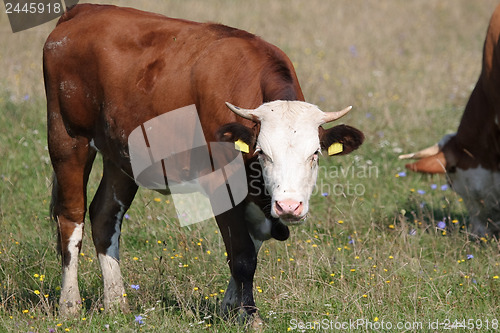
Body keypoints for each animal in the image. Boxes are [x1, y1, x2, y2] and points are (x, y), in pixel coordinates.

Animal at [43, 3, 364, 324]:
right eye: (262, 153)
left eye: (315, 154)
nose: (289, 207)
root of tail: (83, 10)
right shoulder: (222, 185)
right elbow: (243, 255)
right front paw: (250, 316)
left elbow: (249, 247)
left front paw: (230, 309)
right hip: (68, 140)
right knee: (71, 218)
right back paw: (69, 305)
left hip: (120, 156)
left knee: (105, 217)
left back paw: (116, 304)